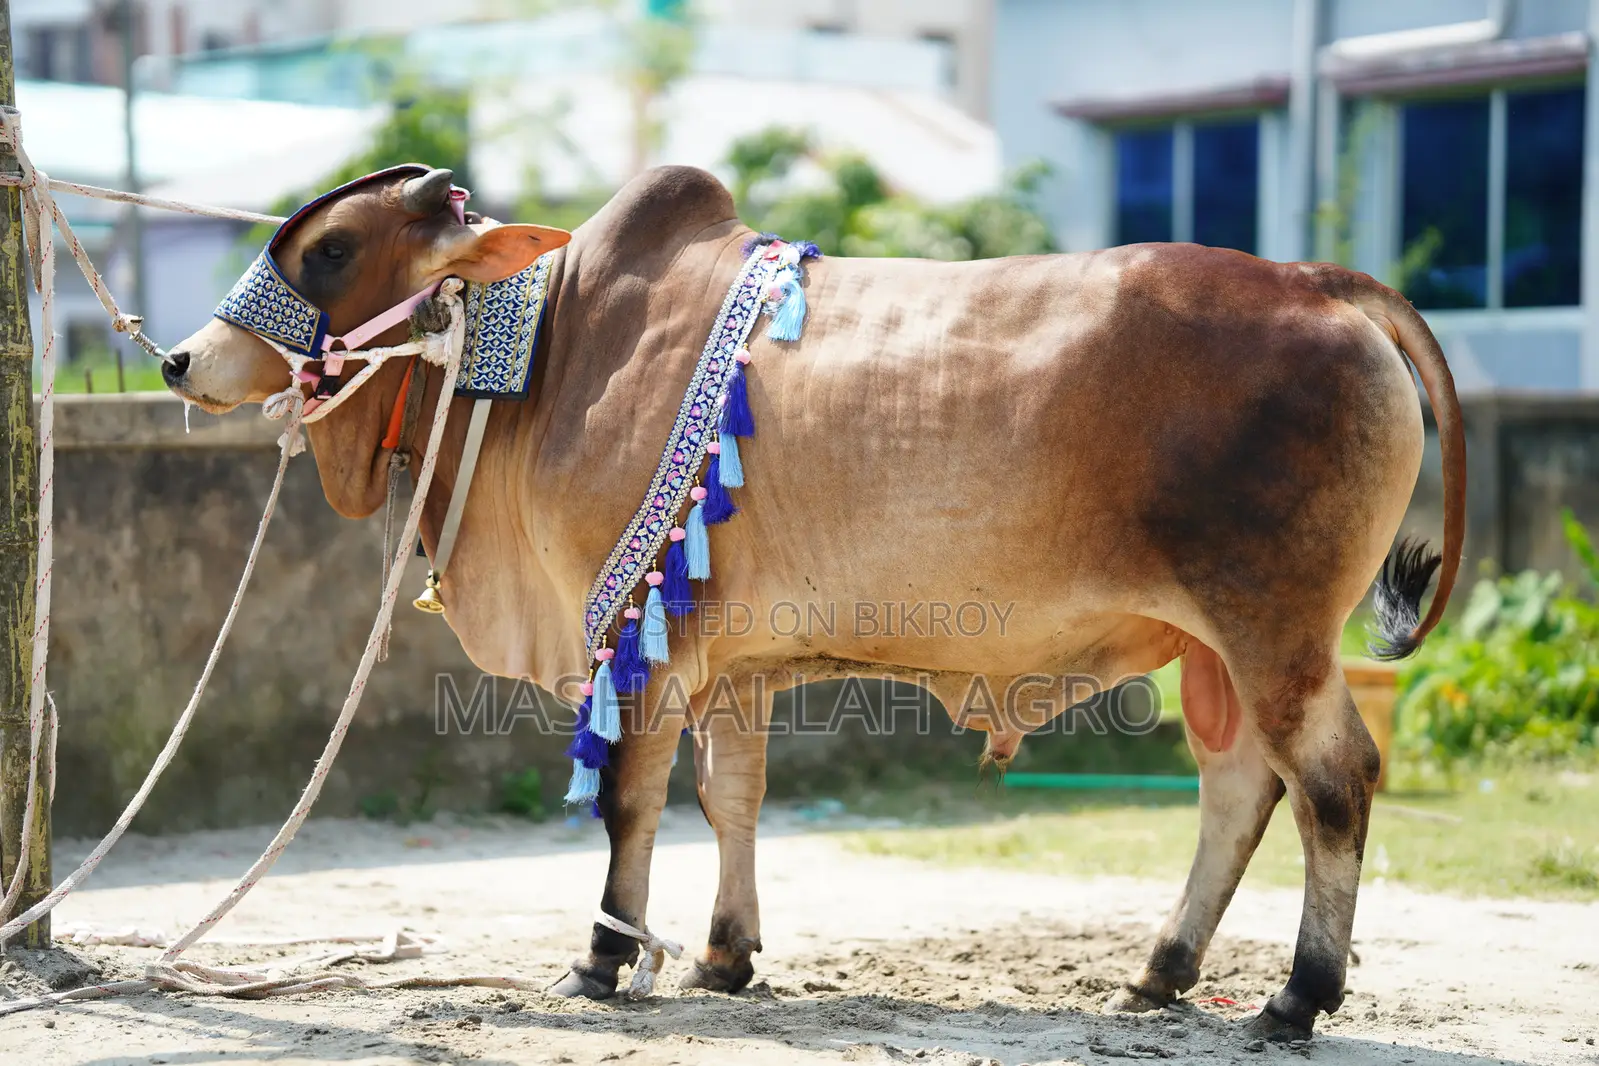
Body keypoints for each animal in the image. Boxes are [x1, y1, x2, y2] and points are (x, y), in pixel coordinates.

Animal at [163, 164, 1463, 1042]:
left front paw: (601, 961)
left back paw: (1296, 995)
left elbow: (628, 803)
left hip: (1275, 632)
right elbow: (730, 796)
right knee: (1241, 788)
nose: (179, 359)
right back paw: (1161, 969)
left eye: (332, 249)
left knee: (1333, 781)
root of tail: (1317, 282)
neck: (551, 350)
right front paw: (724, 955)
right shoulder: (727, 658)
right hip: (1211, 649)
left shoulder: (635, 629)